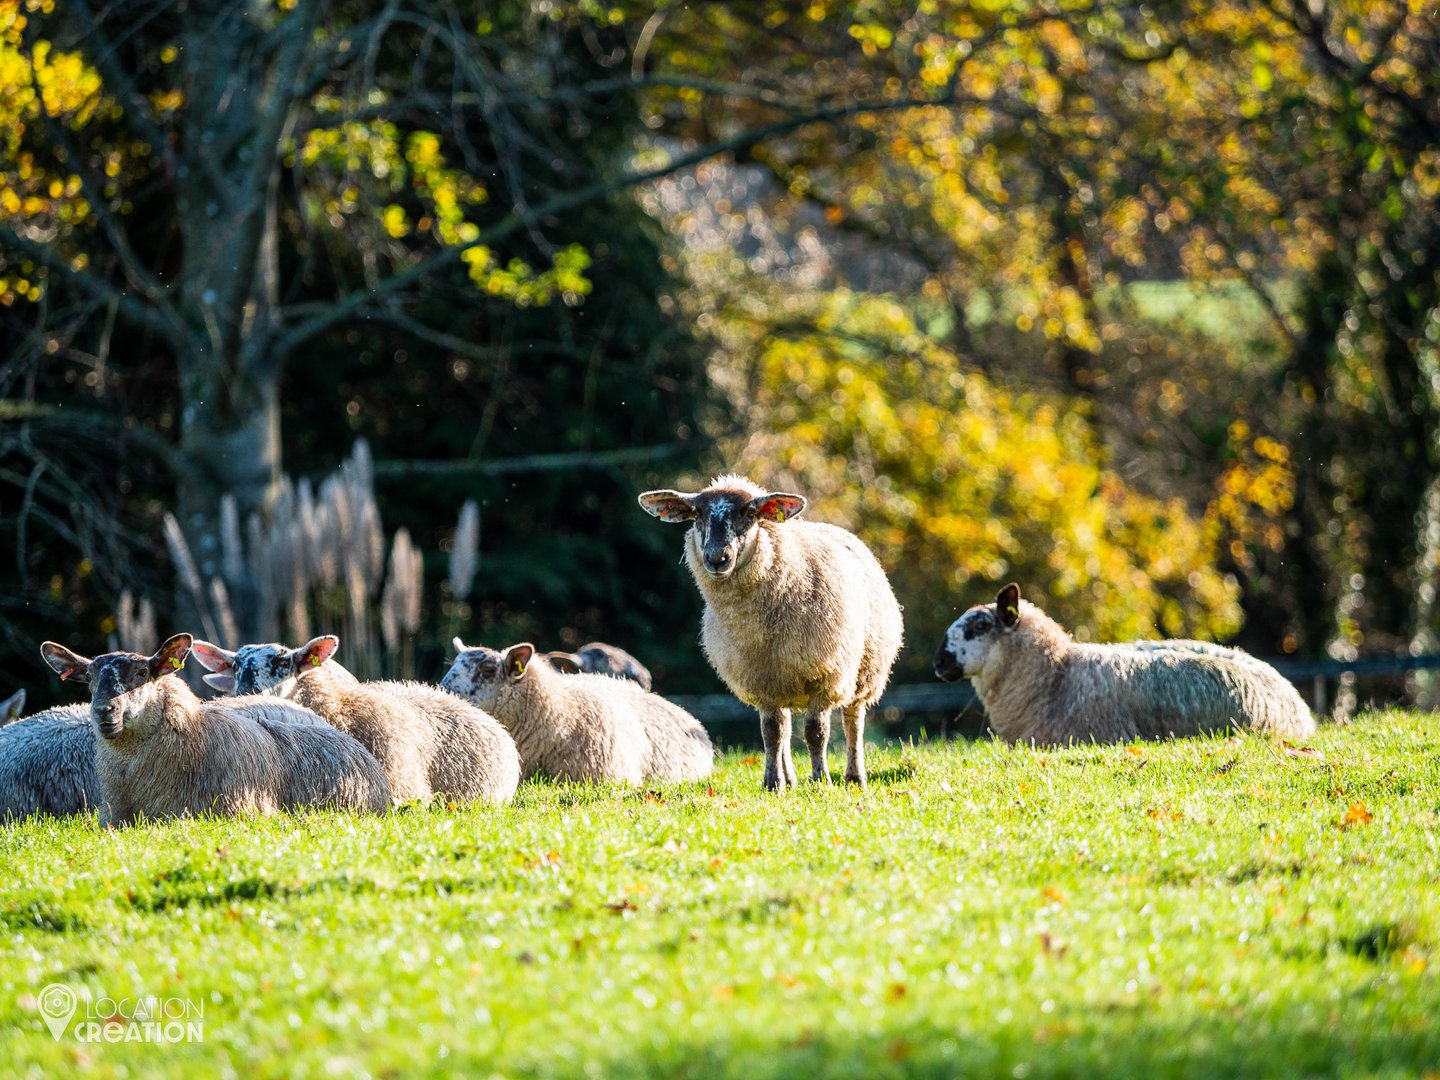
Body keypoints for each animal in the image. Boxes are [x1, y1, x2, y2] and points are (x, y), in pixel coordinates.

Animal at [639, 474, 904, 791]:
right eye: (698, 514)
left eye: (749, 513)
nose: (716, 558)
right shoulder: (762, 678)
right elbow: (771, 733)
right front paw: (772, 782)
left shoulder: (825, 677)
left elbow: (816, 733)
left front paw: (821, 780)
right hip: (783, 678)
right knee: (785, 728)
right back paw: (789, 779)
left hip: (864, 672)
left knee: (853, 720)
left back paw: (854, 777)